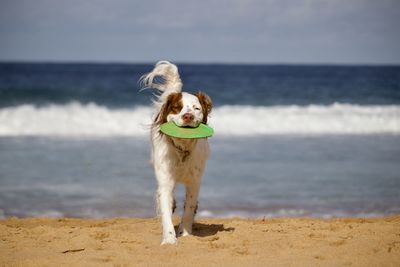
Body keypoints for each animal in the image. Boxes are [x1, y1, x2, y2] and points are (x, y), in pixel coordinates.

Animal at [140, 61, 212, 245]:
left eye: (196, 108)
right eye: (177, 108)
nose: (187, 116)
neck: (182, 149)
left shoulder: (194, 181)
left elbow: (189, 207)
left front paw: (185, 233)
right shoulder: (165, 180)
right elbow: (165, 207)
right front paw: (169, 240)